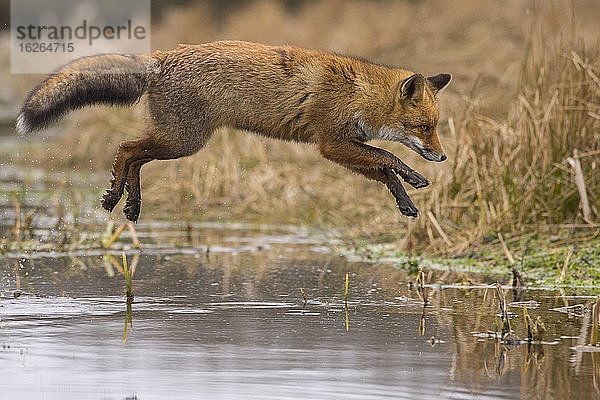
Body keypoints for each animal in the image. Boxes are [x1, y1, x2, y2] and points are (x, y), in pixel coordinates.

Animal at [16, 40, 450, 222]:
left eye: (436, 128)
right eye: (424, 128)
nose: (443, 156)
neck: (358, 93)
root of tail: (161, 57)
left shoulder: (344, 147)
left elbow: (384, 172)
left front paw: (406, 203)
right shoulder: (331, 143)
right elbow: (388, 157)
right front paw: (415, 177)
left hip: (175, 141)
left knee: (135, 157)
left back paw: (129, 204)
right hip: (183, 141)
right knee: (125, 149)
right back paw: (113, 198)